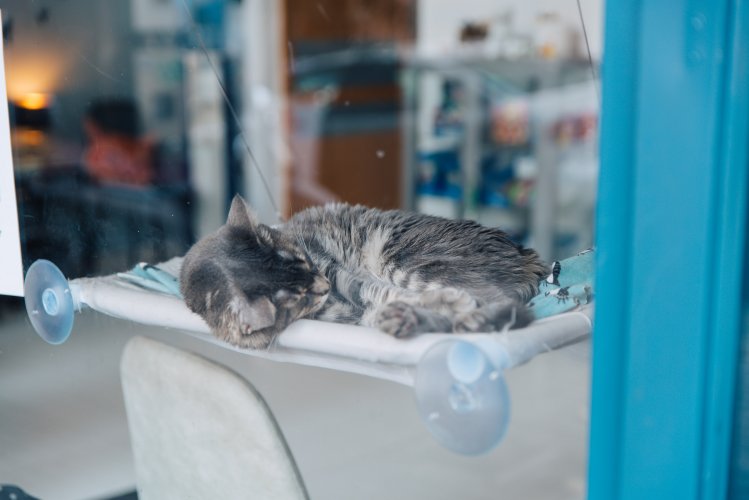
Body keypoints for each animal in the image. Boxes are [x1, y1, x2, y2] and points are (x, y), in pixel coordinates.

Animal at [178, 195, 548, 348]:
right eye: (298, 296)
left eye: (303, 259)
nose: (323, 286)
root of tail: (527, 254)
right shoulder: (350, 312)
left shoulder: (339, 272)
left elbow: (382, 290)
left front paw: (444, 302)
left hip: (404, 258)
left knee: (505, 304)